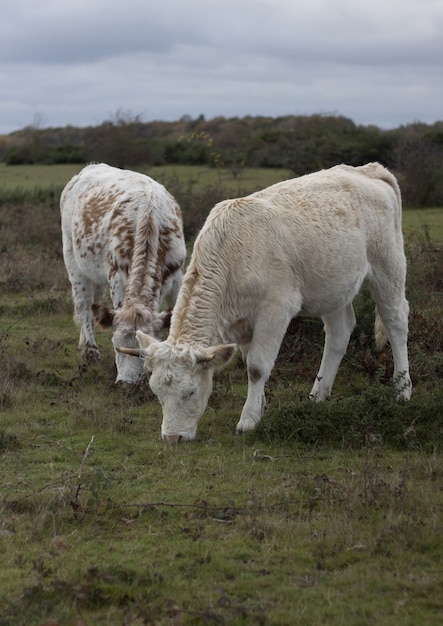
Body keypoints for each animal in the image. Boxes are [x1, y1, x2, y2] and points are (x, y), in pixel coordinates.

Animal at [60, 161, 186, 382]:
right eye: (115, 344)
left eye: (146, 351)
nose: (127, 383)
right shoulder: (117, 275)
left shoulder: (177, 275)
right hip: (73, 261)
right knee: (83, 305)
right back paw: (90, 351)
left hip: (96, 274)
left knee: (93, 303)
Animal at [119, 163, 414, 442]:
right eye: (156, 392)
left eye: (190, 392)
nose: (172, 437)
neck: (233, 254)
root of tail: (368, 170)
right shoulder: (242, 323)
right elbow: (249, 362)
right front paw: (259, 409)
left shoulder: (276, 309)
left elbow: (257, 367)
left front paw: (248, 421)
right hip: (334, 285)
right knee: (339, 333)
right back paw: (317, 396)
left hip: (388, 267)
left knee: (396, 322)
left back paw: (402, 391)